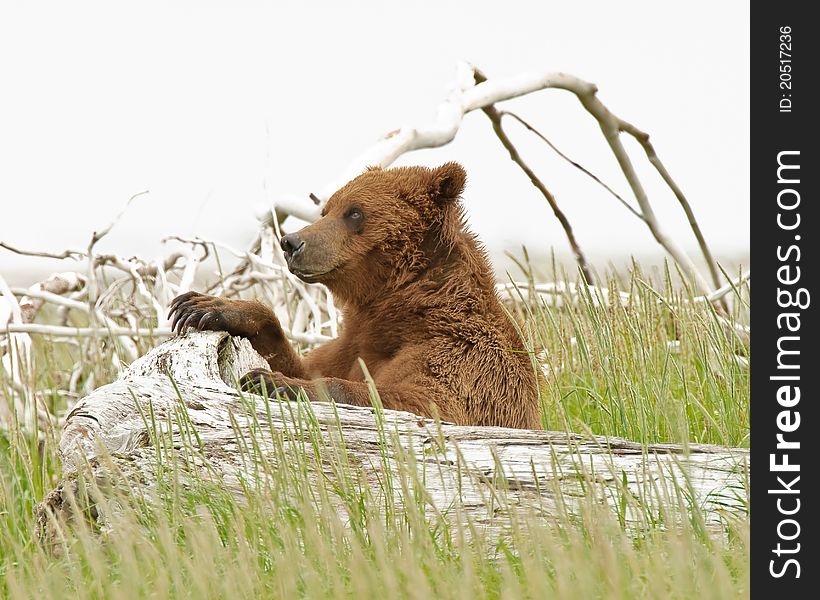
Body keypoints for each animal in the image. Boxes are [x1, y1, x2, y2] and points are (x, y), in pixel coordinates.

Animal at [170, 162, 540, 428]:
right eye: (327, 210)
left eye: (355, 212)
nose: (291, 242)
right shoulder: (353, 344)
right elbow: (302, 362)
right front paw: (203, 306)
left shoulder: (463, 356)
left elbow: (424, 401)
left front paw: (271, 381)